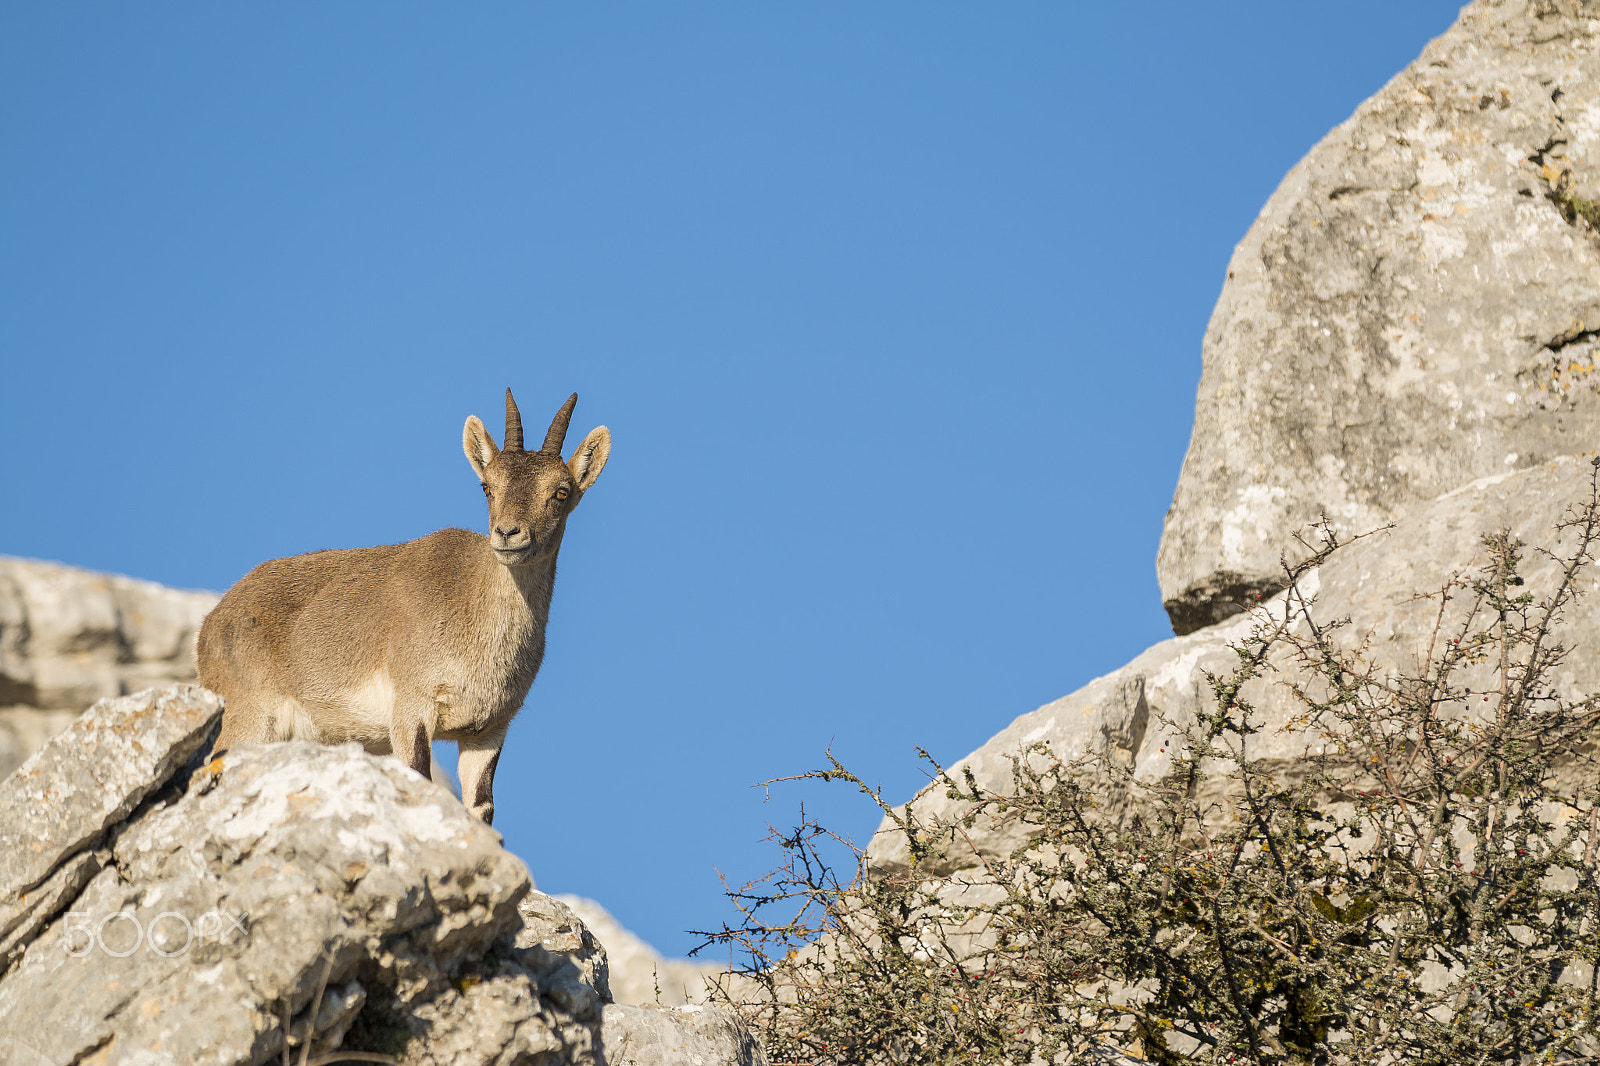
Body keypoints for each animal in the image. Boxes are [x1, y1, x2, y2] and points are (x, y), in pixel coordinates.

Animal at [197, 389, 610, 824]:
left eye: (561, 491)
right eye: (487, 486)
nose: (508, 534)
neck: (471, 613)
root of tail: (210, 626)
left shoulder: (487, 731)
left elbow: (481, 807)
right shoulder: (411, 709)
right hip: (247, 717)